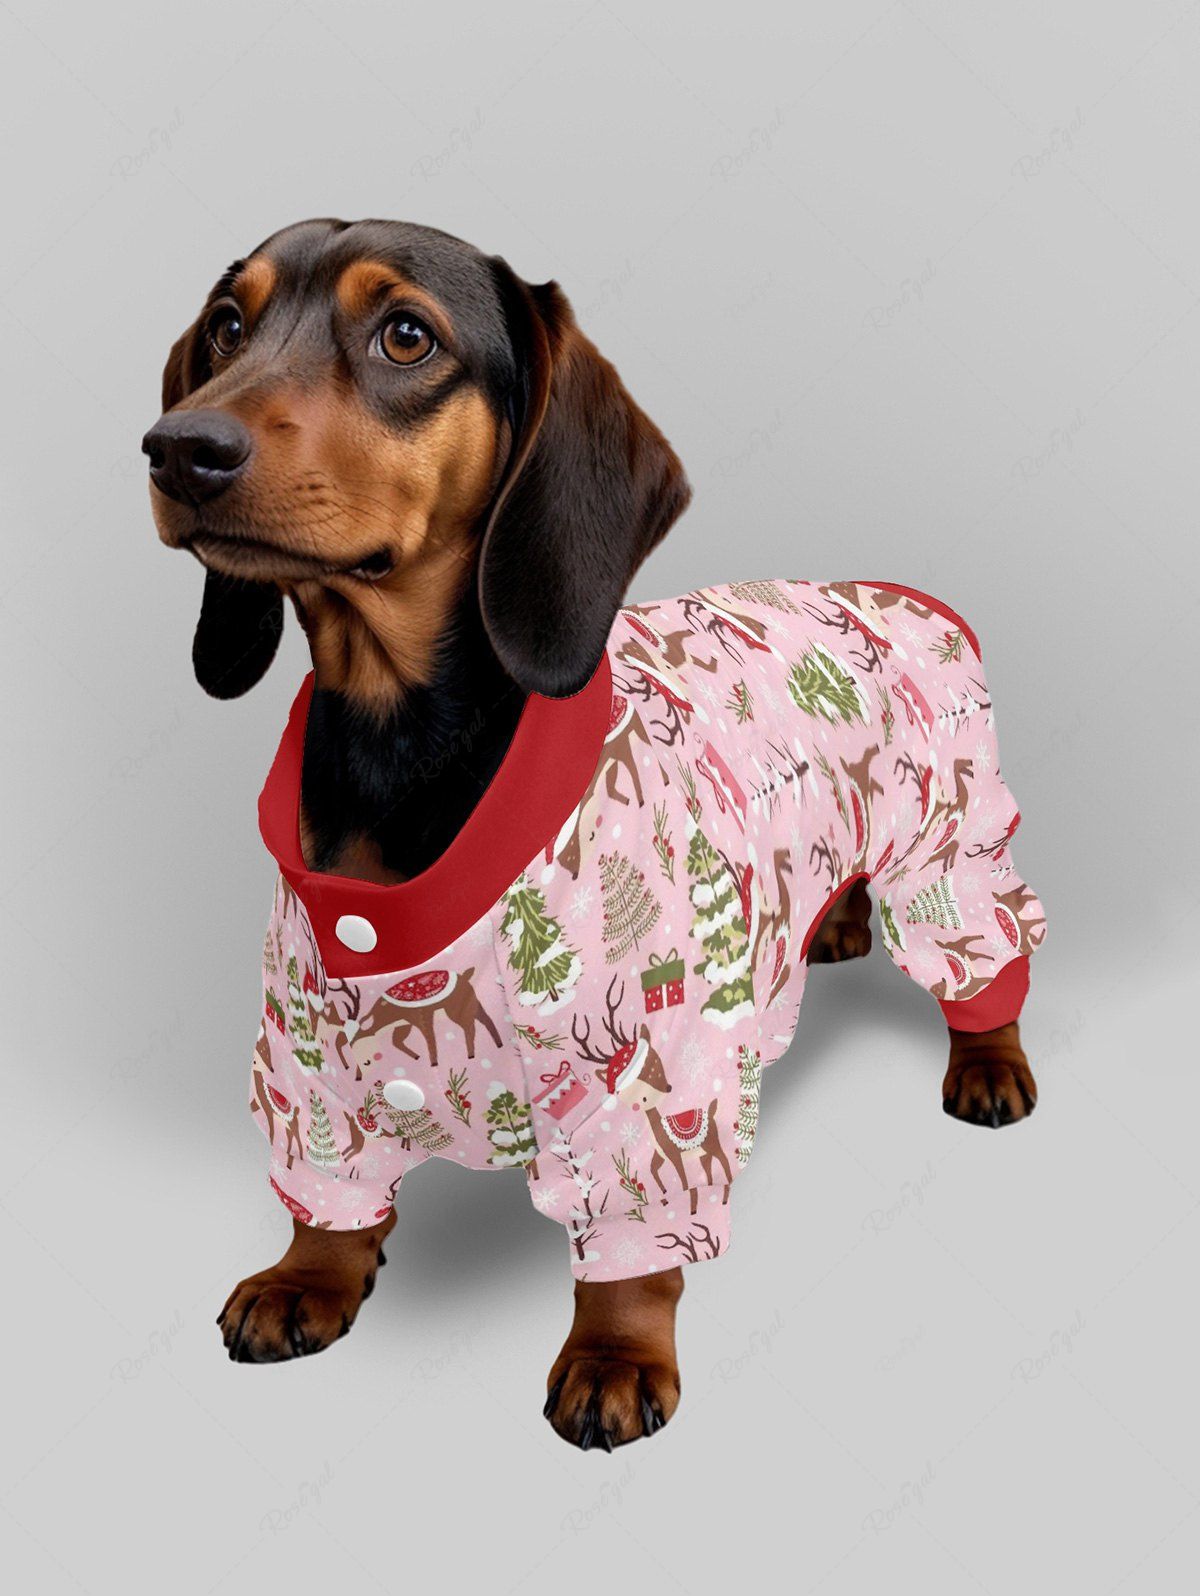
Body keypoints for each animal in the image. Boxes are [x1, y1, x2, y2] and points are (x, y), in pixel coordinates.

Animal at [572, 976, 733, 1216]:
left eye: (655, 1062)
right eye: (621, 1088)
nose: (667, 1088)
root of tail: (711, 1110)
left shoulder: (674, 1155)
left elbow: (684, 1183)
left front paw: (688, 1205)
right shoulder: (661, 1155)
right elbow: (655, 1171)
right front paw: (667, 1196)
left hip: (712, 1144)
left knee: (724, 1161)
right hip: (703, 1151)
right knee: (709, 1169)